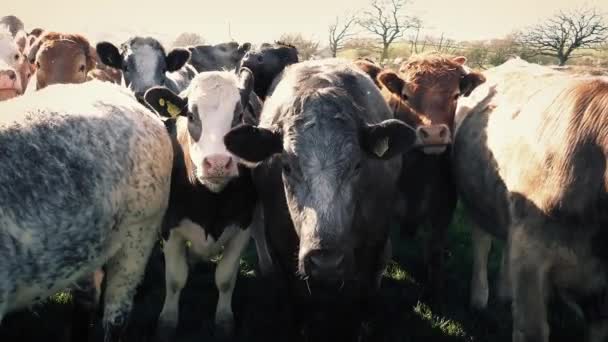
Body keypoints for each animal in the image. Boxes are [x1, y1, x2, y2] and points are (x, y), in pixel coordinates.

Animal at [145, 68, 264, 340]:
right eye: (190, 115)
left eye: (239, 115)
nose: (218, 163)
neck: (211, 200)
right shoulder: (170, 228)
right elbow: (175, 279)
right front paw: (167, 322)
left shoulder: (243, 225)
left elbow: (226, 278)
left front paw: (224, 321)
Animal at [223, 58, 418, 342]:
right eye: (286, 166)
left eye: (358, 165)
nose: (325, 262)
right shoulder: (281, 245)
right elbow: (297, 299)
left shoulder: (373, 245)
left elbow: (355, 305)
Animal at [352, 54, 484, 304]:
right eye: (406, 96)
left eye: (455, 95)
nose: (433, 135)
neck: (417, 175)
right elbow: (381, 254)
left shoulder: (443, 210)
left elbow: (434, 252)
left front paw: (434, 293)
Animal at [454, 58, 608, 342]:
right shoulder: (530, 257)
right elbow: (532, 330)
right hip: (478, 199)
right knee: (482, 242)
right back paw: (479, 299)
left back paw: (504, 292)